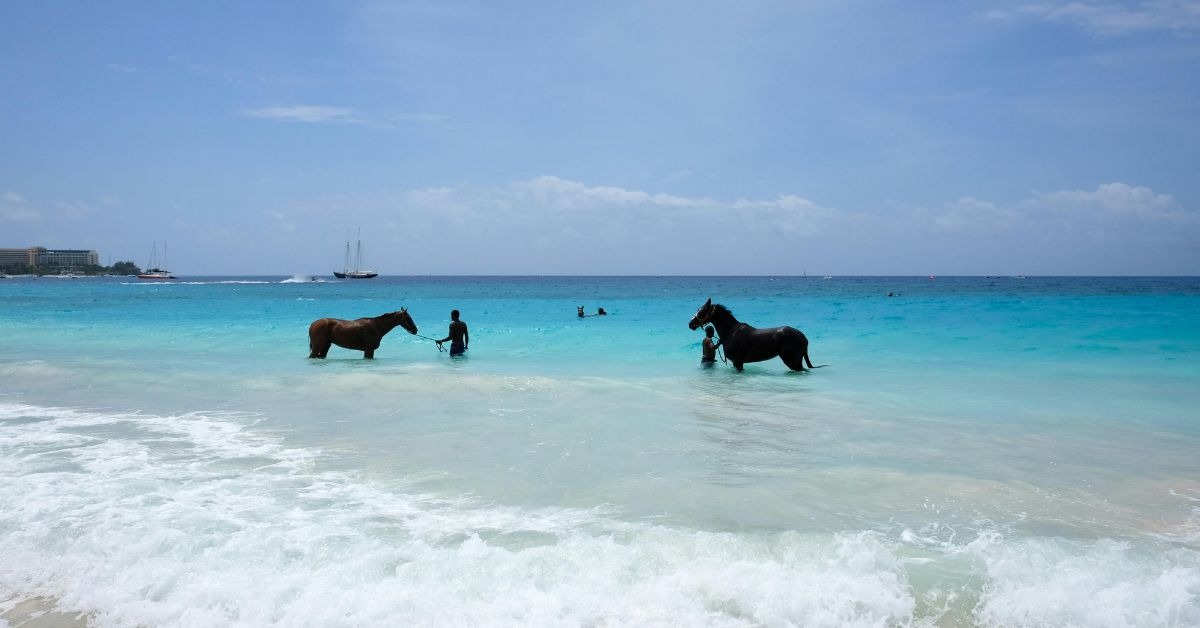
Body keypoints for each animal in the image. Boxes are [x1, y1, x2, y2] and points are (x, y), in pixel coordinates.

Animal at [688, 298, 816, 372]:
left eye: (702, 311)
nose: (690, 324)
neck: (731, 332)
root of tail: (804, 338)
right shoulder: (736, 363)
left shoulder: (738, 362)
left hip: (792, 361)